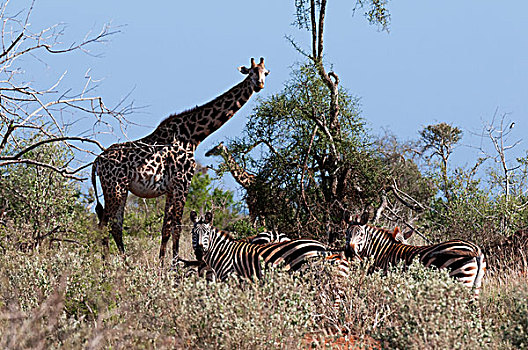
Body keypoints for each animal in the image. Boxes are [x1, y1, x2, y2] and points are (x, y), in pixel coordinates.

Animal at [91, 57, 270, 264]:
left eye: (265, 72)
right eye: (252, 72)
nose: (259, 85)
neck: (193, 136)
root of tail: (97, 161)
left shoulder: (171, 188)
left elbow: (166, 228)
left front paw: (162, 263)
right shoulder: (182, 183)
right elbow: (177, 226)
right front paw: (174, 264)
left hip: (120, 189)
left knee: (115, 225)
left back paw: (124, 264)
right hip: (115, 188)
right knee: (104, 224)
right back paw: (106, 265)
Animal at [346, 213, 486, 298]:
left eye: (361, 234)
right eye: (346, 233)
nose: (349, 252)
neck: (383, 251)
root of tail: (475, 249)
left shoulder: (386, 277)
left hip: (459, 280)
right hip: (475, 285)